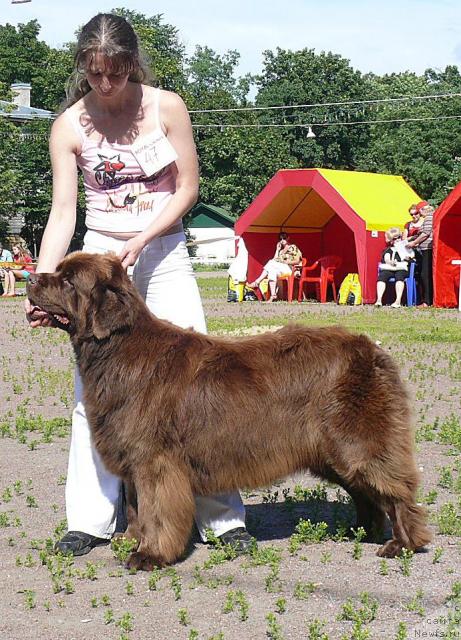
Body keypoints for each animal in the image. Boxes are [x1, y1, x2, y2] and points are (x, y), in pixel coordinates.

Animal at [27, 251, 432, 568]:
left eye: (68, 281)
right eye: (58, 272)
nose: (31, 277)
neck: (116, 349)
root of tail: (372, 348)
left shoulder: (155, 459)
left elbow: (156, 507)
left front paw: (150, 554)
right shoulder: (130, 454)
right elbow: (134, 504)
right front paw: (131, 538)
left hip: (357, 442)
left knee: (395, 489)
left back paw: (403, 543)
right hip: (329, 452)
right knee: (365, 491)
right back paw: (359, 530)